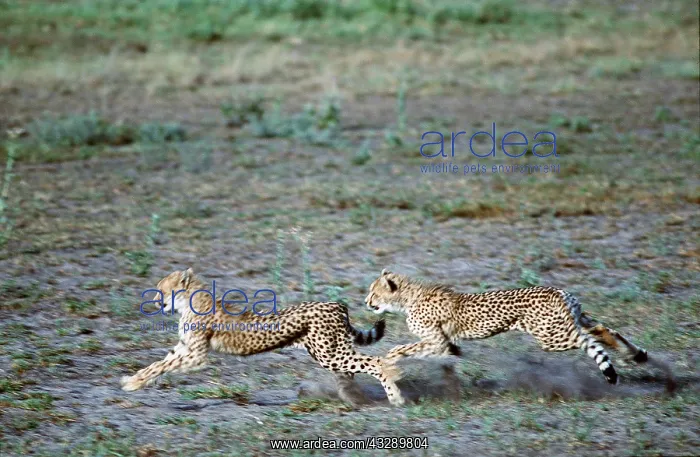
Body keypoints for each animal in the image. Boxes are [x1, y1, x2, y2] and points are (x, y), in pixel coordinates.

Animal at [121, 268, 404, 406]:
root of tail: (335, 303)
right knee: (352, 371)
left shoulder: (195, 355)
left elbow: (163, 365)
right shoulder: (184, 349)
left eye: (161, 289)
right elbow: (157, 364)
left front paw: (132, 383)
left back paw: (394, 396)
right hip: (330, 352)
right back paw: (353, 397)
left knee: (375, 362)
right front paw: (134, 379)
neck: (189, 302)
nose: (154, 301)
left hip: (330, 353)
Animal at [365, 269, 675, 402]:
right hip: (570, 323)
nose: (366, 302)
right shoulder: (447, 344)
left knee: (588, 340)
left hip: (551, 336)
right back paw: (637, 354)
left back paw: (613, 368)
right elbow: (447, 356)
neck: (408, 298)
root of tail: (559, 291)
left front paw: (391, 362)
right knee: (602, 330)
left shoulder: (437, 341)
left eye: (373, 292)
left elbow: (401, 349)